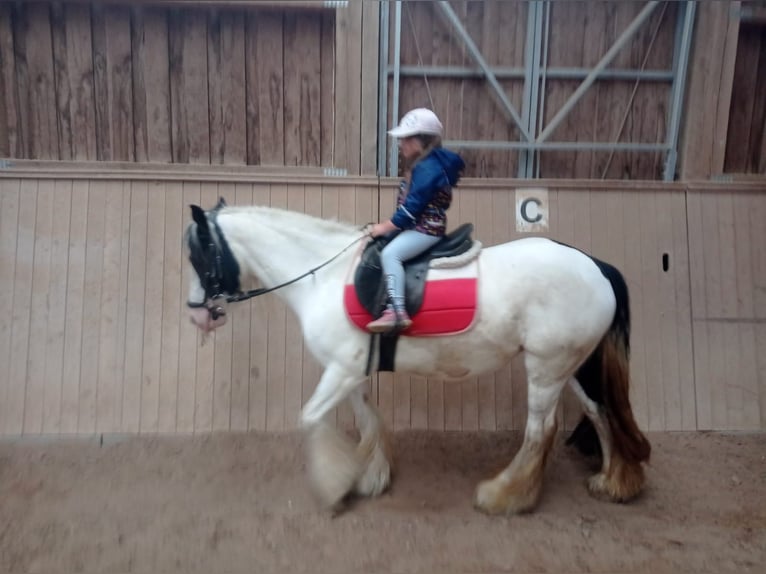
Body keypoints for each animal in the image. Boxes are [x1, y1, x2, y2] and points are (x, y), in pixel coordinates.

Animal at [183, 199, 652, 516]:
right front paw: (371, 476)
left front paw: (334, 486)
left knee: (542, 429)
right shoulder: (352, 372)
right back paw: (613, 482)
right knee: (598, 412)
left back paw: (504, 495)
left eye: (199, 253)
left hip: (546, 368)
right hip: (571, 367)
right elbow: (366, 419)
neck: (325, 276)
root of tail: (595, 265)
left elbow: (311, 419)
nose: (197, 316)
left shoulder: (340, 371)